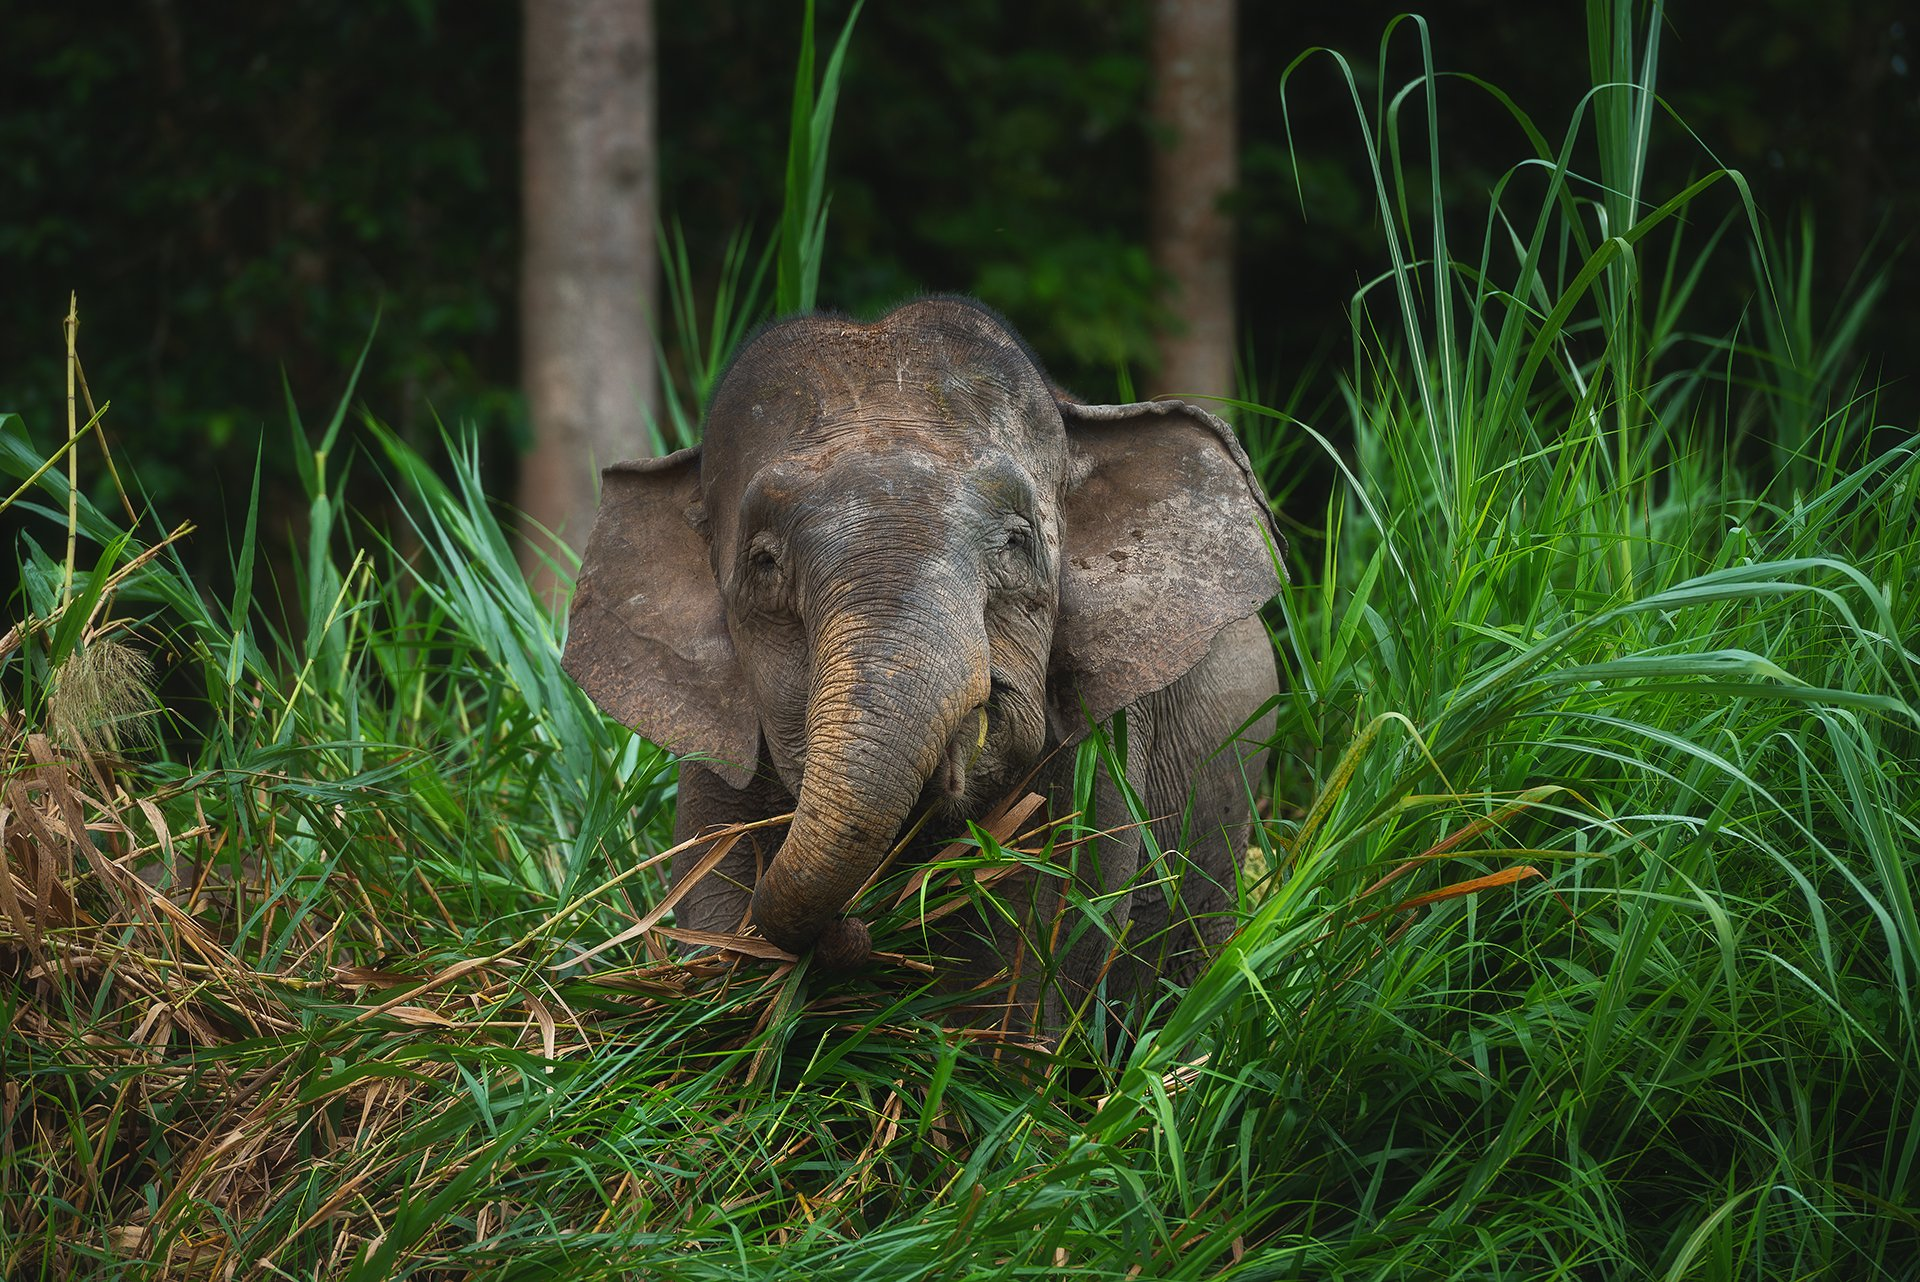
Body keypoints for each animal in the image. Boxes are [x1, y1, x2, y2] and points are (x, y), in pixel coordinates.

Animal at [564, 297, 1290, 1028]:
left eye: (1016, 542)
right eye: (764, 563)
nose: (852, 927)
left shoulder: (1101, 747)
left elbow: (1029, 951)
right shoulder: (717, 762)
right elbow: (716, 888)